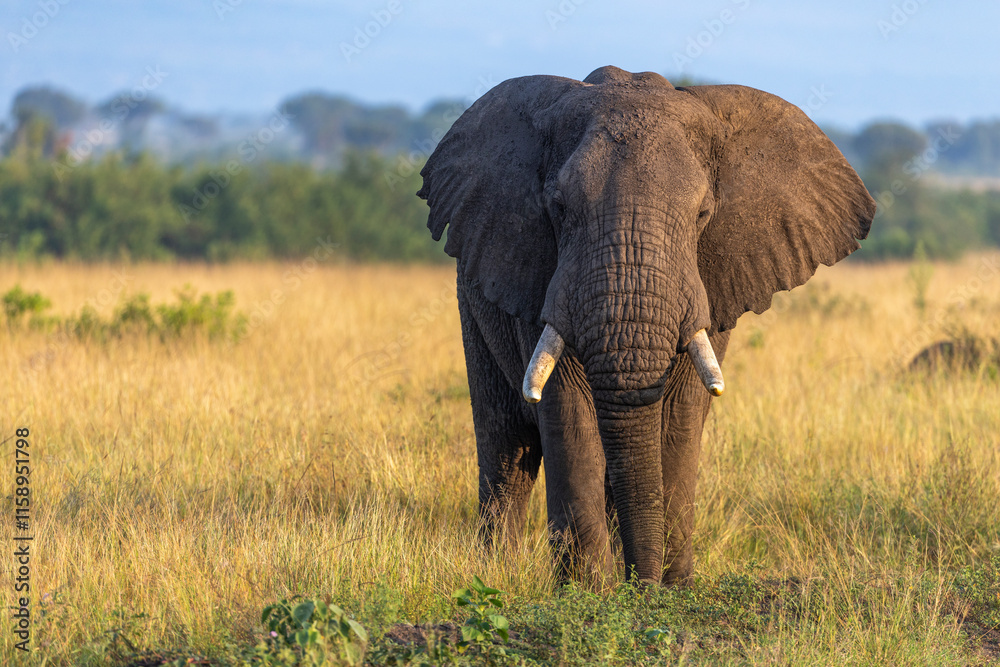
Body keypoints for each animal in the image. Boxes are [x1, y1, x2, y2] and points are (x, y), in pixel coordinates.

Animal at [417, 66, 876, 586]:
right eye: (558, 208)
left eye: (702, 214)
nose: (643, 585)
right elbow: (569, 413)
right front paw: (587, 593)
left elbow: (679, 416)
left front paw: (671, 590)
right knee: (506, 452)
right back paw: (495, 573)